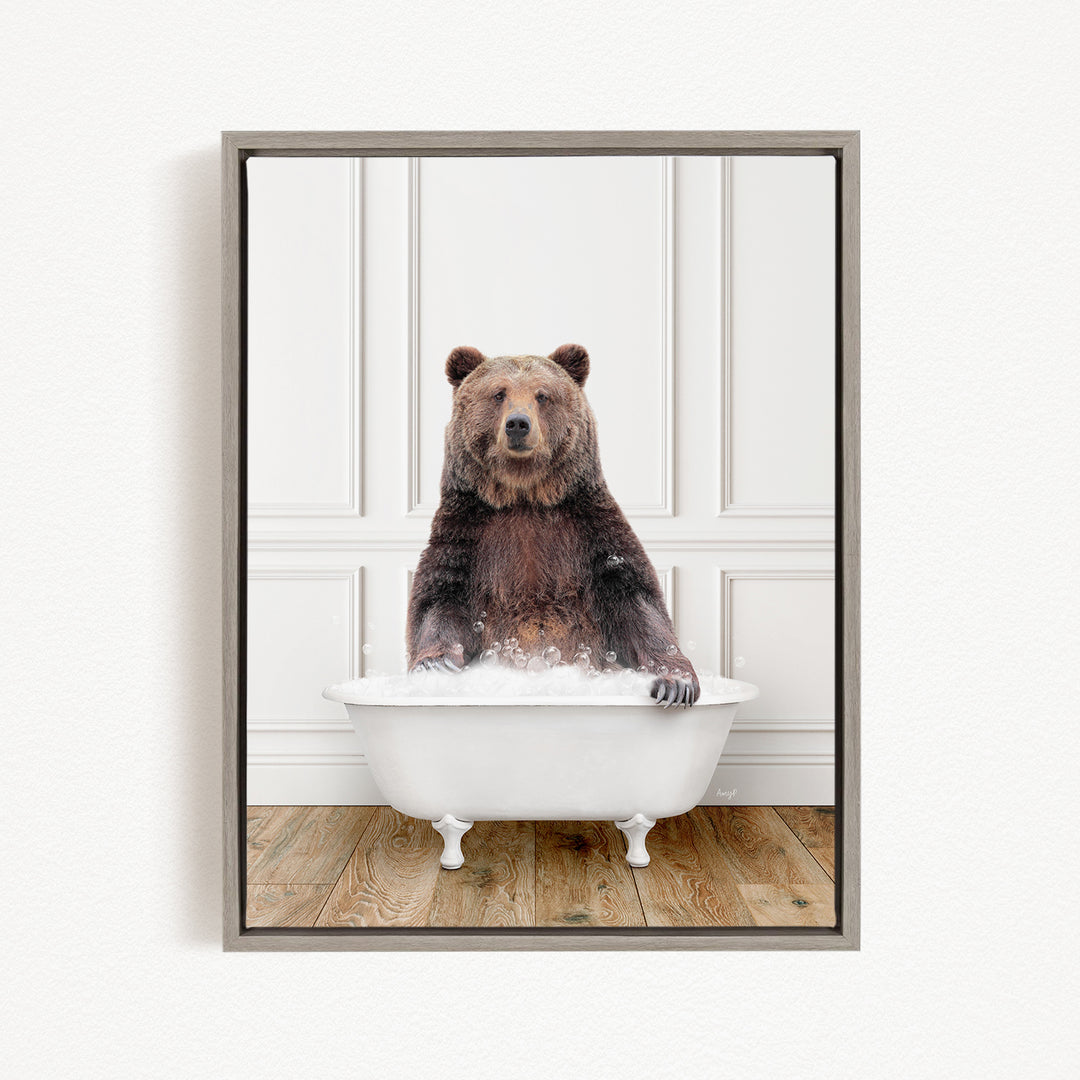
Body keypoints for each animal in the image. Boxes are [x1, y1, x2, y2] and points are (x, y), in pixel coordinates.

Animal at [406, 344, 699, 706]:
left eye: (542, 395)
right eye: (498, 393)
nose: (518, 424)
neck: (525, 496)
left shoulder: (590, 531)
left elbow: (636, 601)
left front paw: (675, 683)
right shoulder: (467, 533)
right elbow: (439, 600)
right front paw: (435, 665)